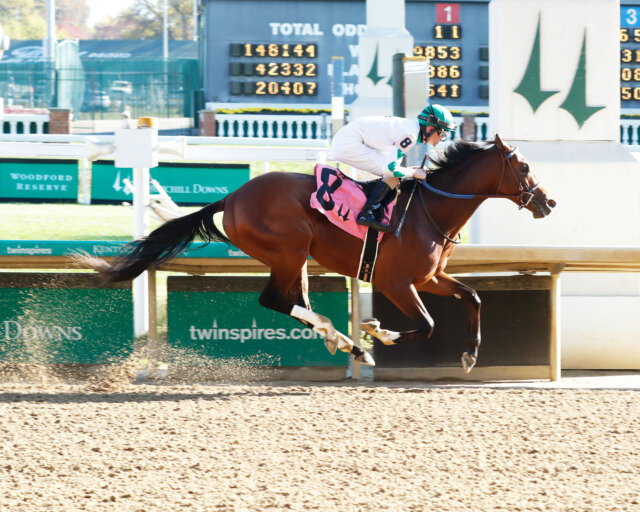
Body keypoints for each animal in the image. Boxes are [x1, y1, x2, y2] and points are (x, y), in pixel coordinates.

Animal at [76, 132, 556, 372]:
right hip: (288, 250)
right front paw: (379, 332)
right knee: (274, 299)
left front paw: (471, 354)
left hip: (297, 258)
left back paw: (340, 341)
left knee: (296, 301)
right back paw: (348, 341)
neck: (430, 210)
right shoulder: (397, 282)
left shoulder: (430, 278)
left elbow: (473, 297)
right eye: (525, 166)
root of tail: (231, 198)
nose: (548, 202)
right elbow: (428, 325)